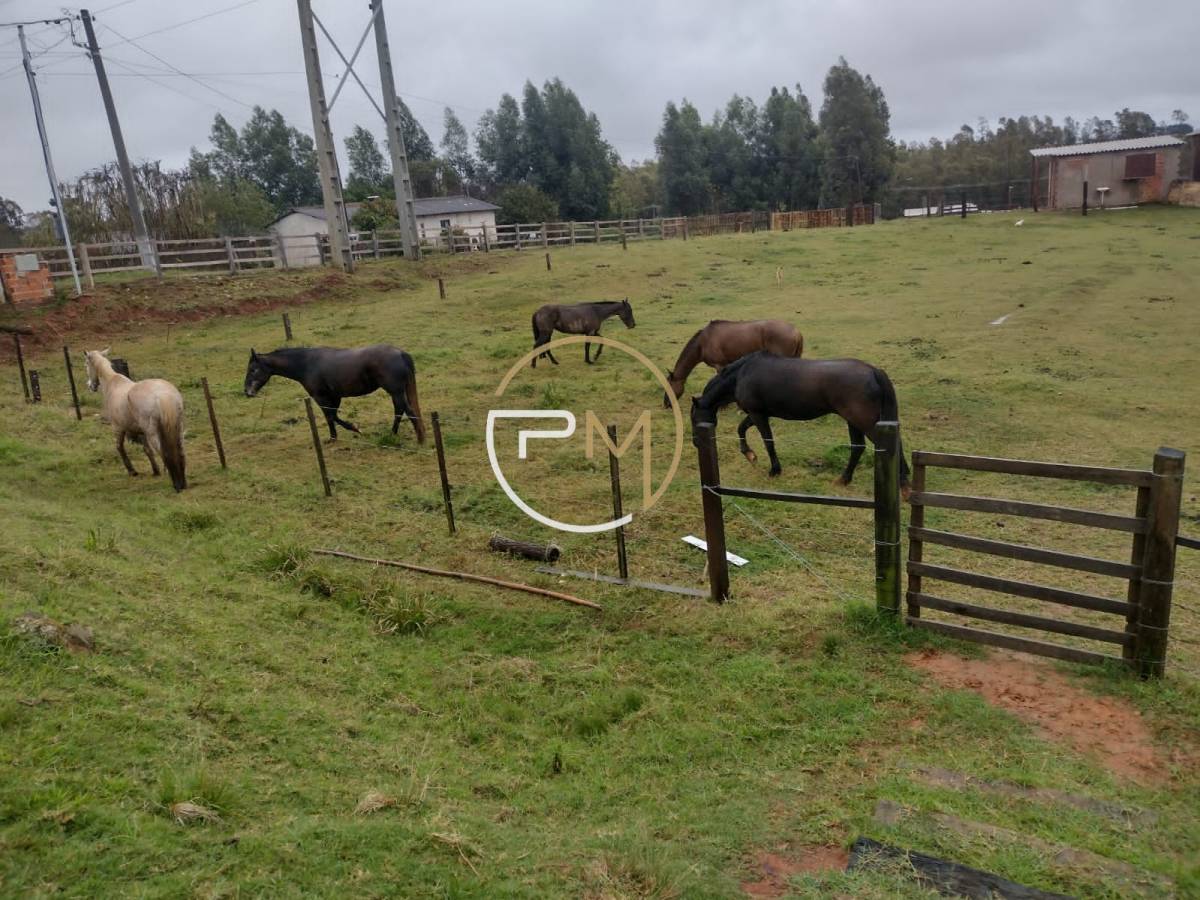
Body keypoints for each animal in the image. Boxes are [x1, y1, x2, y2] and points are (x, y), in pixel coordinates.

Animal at [84, 349, 187, 492]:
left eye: (86, 364)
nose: (90, 386)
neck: (112, 383)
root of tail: (161, 395)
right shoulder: (141, 432)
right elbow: (147, 450)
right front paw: (155, 471)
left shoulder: (118, 428)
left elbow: (119, 447)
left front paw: (132, 471)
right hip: (178, 428)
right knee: (181, 452)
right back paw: (183, 483)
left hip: (152, 433)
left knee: (164, 453)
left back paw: (175, 482)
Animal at [243, 345, 425, 443]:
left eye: (253, 370)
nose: (247, 392)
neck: (307, 364)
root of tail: (400, 353)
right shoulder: (335, 396)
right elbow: (333, 416)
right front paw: (341, 433)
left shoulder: (321, 397)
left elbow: (330, 416)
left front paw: (345, 432)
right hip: (397, 393)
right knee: (400, 411)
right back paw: (393, 433)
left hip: (396, 392)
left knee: (408, 411)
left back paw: (419, 439)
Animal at [691, 352, 910, 496]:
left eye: (693, 418)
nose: (695, 442)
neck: (741, 374)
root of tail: (873, 371)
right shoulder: (758, 413)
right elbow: (741, 428)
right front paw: (750, 454)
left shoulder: (758, 414)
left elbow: (768, 441)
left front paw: (774, 470)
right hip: (854, 420)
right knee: (858, 447)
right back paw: (844, 480)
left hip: (863, 420)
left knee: (891, 445)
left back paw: (903, 485)